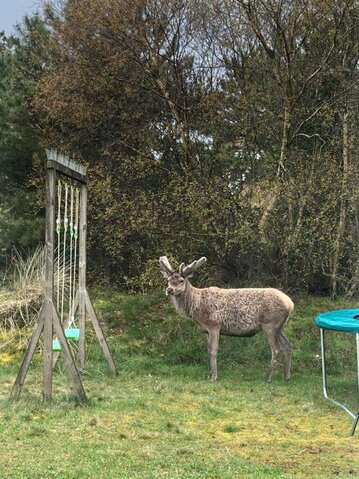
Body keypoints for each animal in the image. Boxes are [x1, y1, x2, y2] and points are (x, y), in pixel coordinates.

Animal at [159, 255, 294, 382]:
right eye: (168, 280)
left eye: (181, 280)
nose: (169, 289)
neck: (197, 307)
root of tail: (290, 304)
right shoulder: (206, 330)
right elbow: (208, 349)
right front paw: (209, 375)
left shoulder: (214, 324)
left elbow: (213, 350)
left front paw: (214, 377)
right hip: (279, 327)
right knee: (288, 345)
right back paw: (286, 377)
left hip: (270, 324)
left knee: (276, 349)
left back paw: (267, 378)